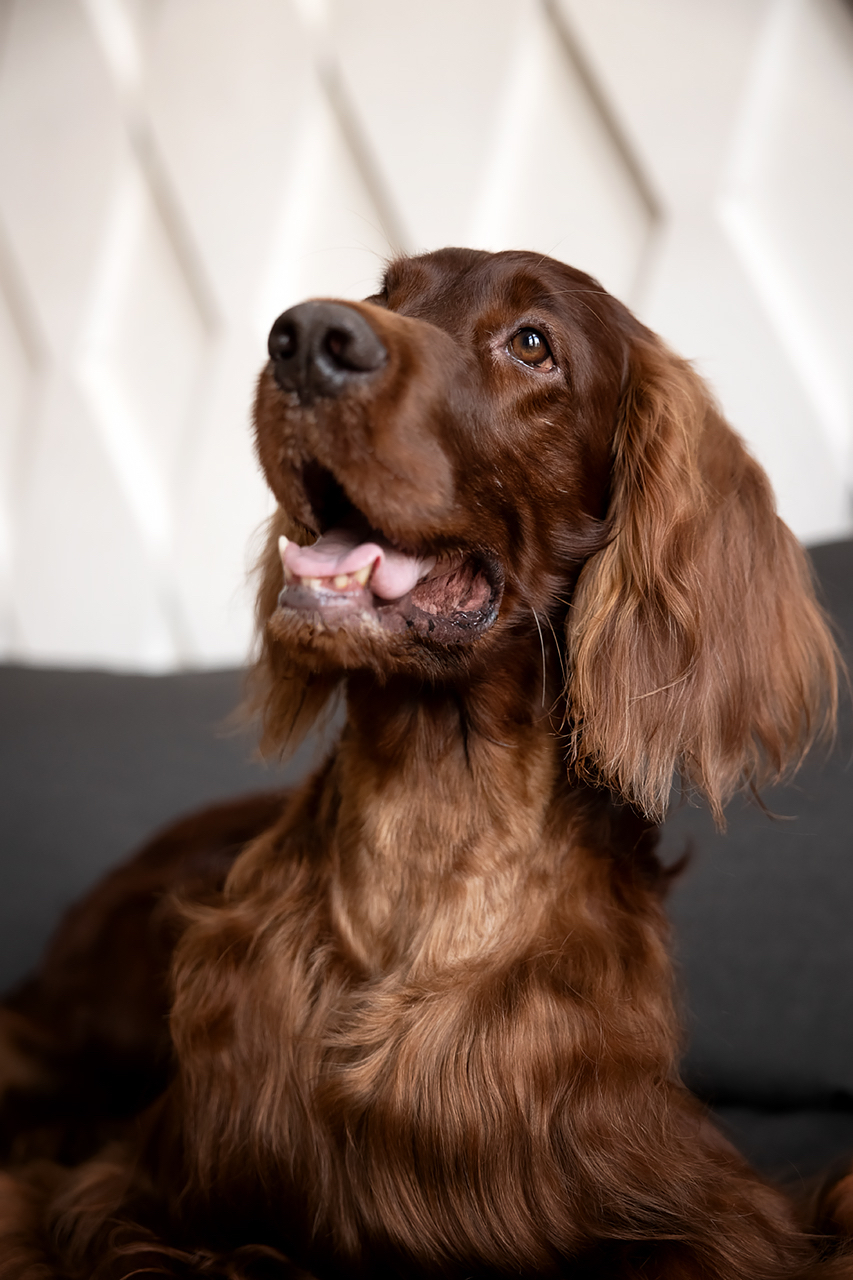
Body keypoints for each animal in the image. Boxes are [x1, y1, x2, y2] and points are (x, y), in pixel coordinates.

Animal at [0, 249, 845, 1280]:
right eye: (384, 297)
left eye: (532, 344)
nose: (303, 339)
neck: (436, 807)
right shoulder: (129, 1192)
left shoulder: (713, 1210)